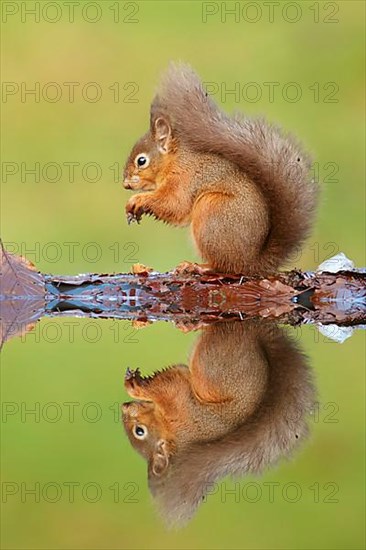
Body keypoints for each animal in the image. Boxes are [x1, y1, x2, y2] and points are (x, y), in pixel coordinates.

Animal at [123, 63, 318, 276]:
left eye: (142, 161)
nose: (125, 184)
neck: (174, 162)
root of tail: (251, 262)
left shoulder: (185, 180)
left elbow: (174, 204)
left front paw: (138, 200)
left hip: (211, 212)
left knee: (223, 266)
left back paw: (197, 266)